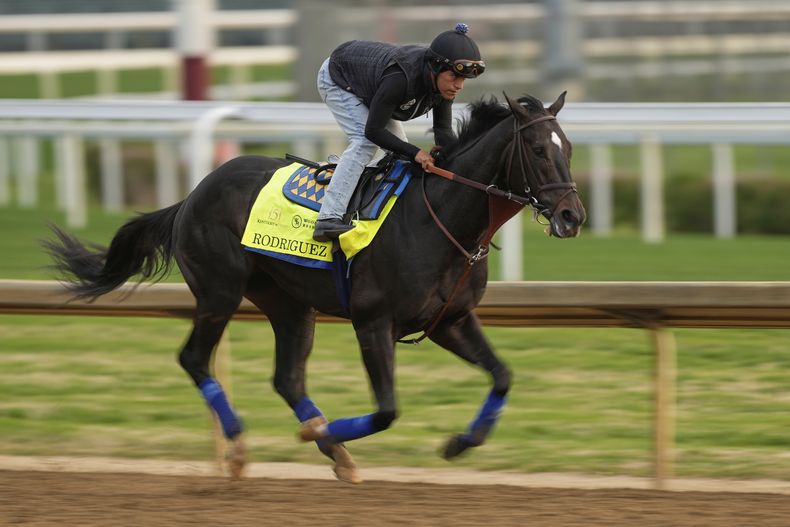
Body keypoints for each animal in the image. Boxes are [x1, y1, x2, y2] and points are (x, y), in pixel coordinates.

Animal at [45, 92, 586, 484]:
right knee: (195, 359)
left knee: (287, 377)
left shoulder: (449, 320)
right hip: (219, 292)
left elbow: (502, 376)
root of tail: (192, 194)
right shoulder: (374, 322)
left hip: (289, 305)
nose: (572, 217)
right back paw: (242, 448)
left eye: (569, 148)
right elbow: (387, 410)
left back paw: (331, 448)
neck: (441, 217)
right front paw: (321, 436)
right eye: (539, 150)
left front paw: (458, 443)